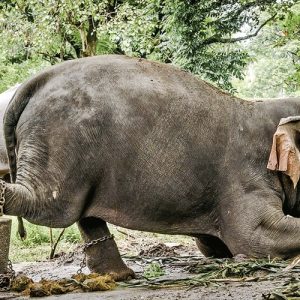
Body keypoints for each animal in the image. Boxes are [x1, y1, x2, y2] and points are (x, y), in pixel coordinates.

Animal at [1, 54, 300, 282]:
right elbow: (254, 237)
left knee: (82, 212)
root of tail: (36, 81)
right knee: (48, 203)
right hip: (59, 139)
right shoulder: (245, 172)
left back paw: (119, 276)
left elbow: (213, 245)